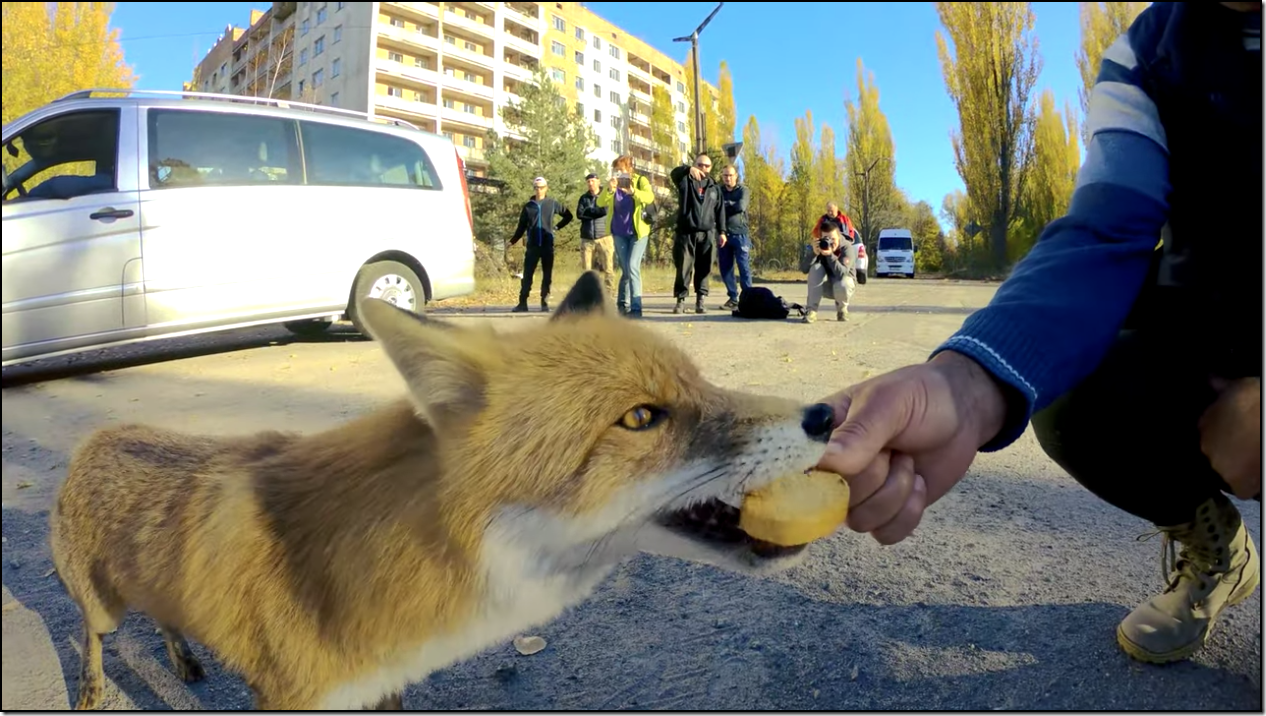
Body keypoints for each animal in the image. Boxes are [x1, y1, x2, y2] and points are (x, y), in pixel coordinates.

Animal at [49, 271, 844, 711]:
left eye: (704, 384)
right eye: (642, 418)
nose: (828, 416)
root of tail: (96, 436)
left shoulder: (383, 686)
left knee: (165, 618)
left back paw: (184, 659)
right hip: (104, 608)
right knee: (92, 635)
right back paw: (90, 691)